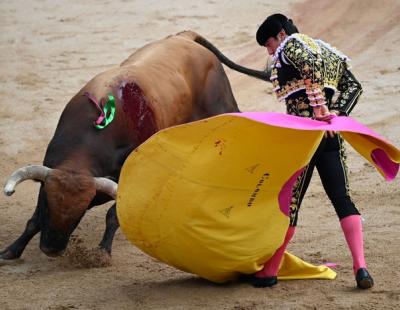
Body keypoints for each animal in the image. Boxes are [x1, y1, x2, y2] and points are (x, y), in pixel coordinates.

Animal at [0, 30, 268, 260]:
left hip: (222, 105)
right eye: (49, 203)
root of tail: (185, 37)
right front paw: (11, 250)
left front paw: (103, 252)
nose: (51, 249)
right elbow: (34, 220)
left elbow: (113, 215)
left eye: (80, 211)